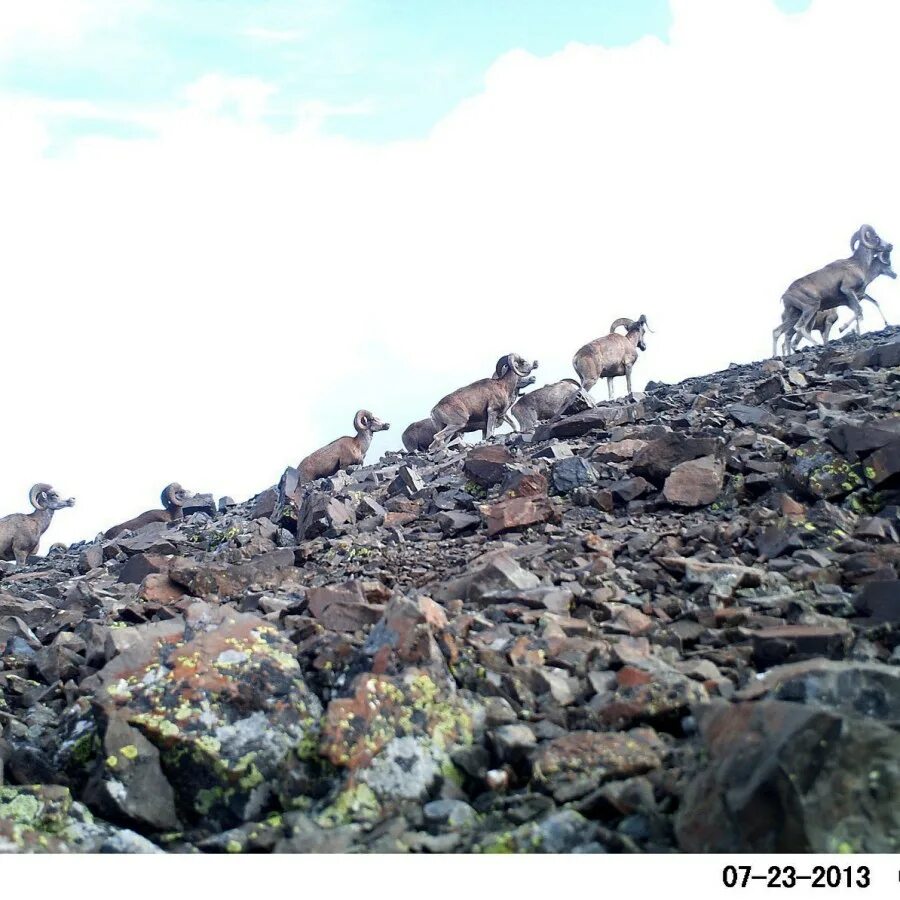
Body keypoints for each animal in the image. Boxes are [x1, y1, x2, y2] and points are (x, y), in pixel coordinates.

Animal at [772, 221, 892, 356]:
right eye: (876, 237)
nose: (890, 246)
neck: (858, 265)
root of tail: (785, 295)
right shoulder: (848, 290)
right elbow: (859, 312)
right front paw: (845, 330)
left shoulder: (849, 300)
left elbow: (858, 312)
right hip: (811, 308)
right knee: (799, 329)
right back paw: (817, 345)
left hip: (795, 314)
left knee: (778, 332)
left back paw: (777, 356)